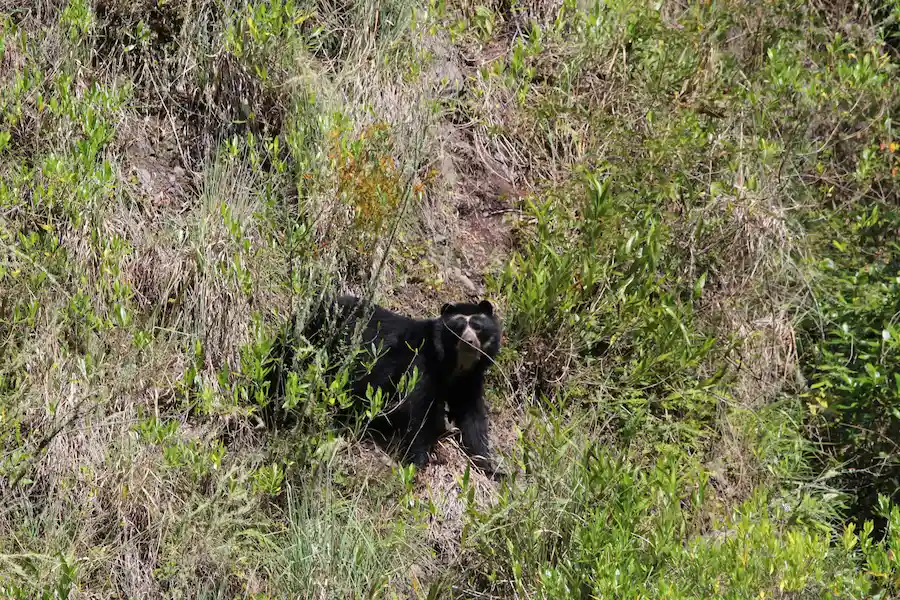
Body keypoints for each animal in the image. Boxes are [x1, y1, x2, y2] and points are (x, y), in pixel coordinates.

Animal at [273, 294, 503, 477]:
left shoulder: (469, 381)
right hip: (311, 345)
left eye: (477, 326)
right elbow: (418, 410)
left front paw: (490, 467)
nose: (469, 342)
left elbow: (472, 418)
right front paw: (417, 462)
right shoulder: (419, 363)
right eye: (458, 327)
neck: (454, 365)